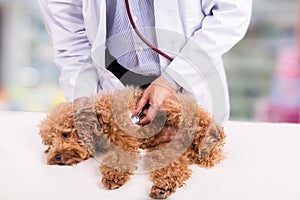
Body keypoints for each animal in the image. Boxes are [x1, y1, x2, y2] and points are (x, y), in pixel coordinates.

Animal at [38, 86, 225, 198]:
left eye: (65, 134)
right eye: (49, 144)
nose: (55, 157)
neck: (101, 118)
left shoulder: (123, 142)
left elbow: (119, 159)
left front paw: (113, 177)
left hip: (174, 109)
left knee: (203, 122)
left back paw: (212, 137)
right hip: (165, 151)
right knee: (175, 170)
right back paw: (162, 188)